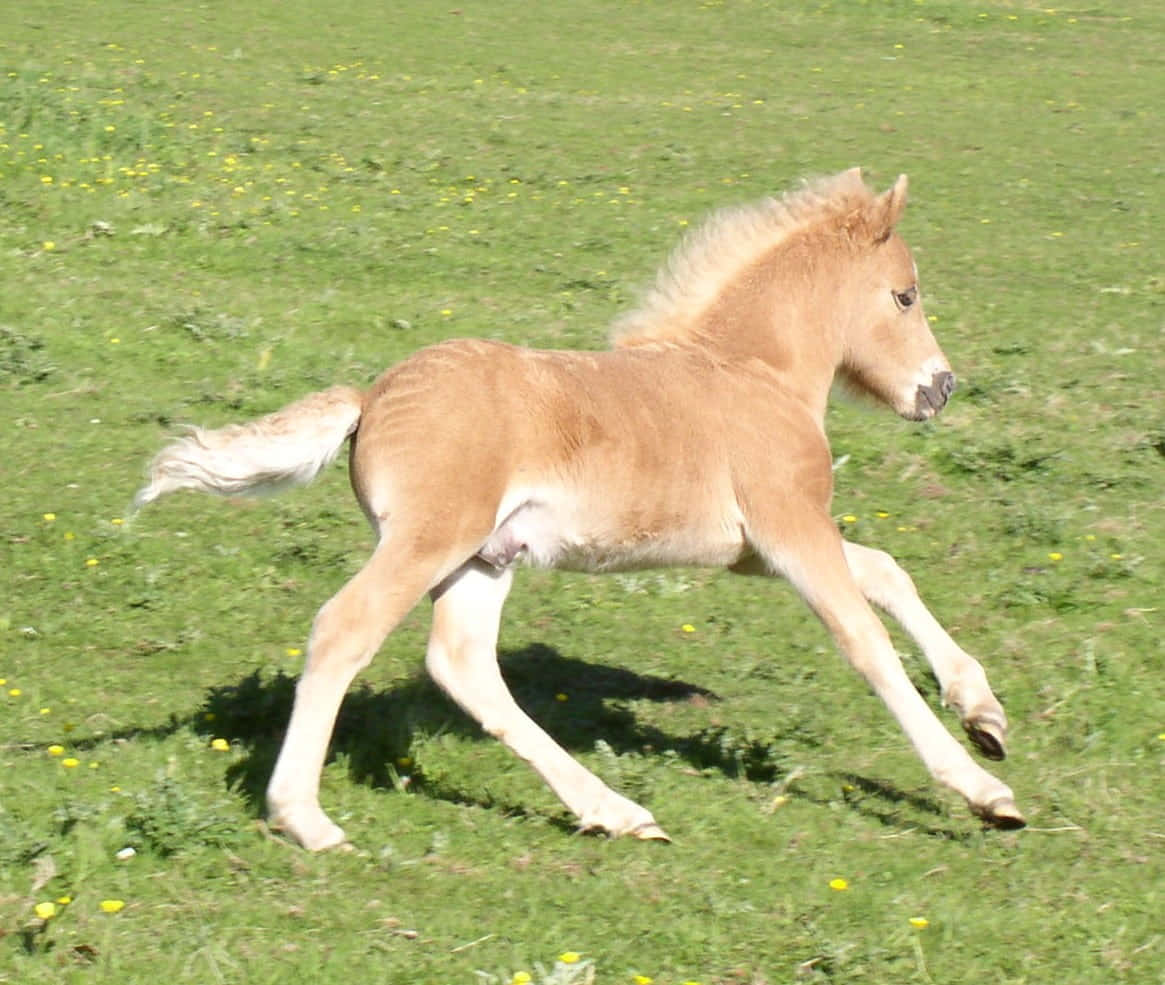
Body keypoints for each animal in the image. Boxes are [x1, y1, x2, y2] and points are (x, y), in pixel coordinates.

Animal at [134, 168, 1025, 851]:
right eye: (904, 296)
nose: (939, 389)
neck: (752, 373)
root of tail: (373, 397)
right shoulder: (789, 529)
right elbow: (864, 640)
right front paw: (981, 790)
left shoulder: (756, 548)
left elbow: (886, 572)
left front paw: (984, 715)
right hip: (429, 540)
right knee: (344, 629)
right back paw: (305, 819)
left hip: (483, 557)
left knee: (461, 664)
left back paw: (615, 811)